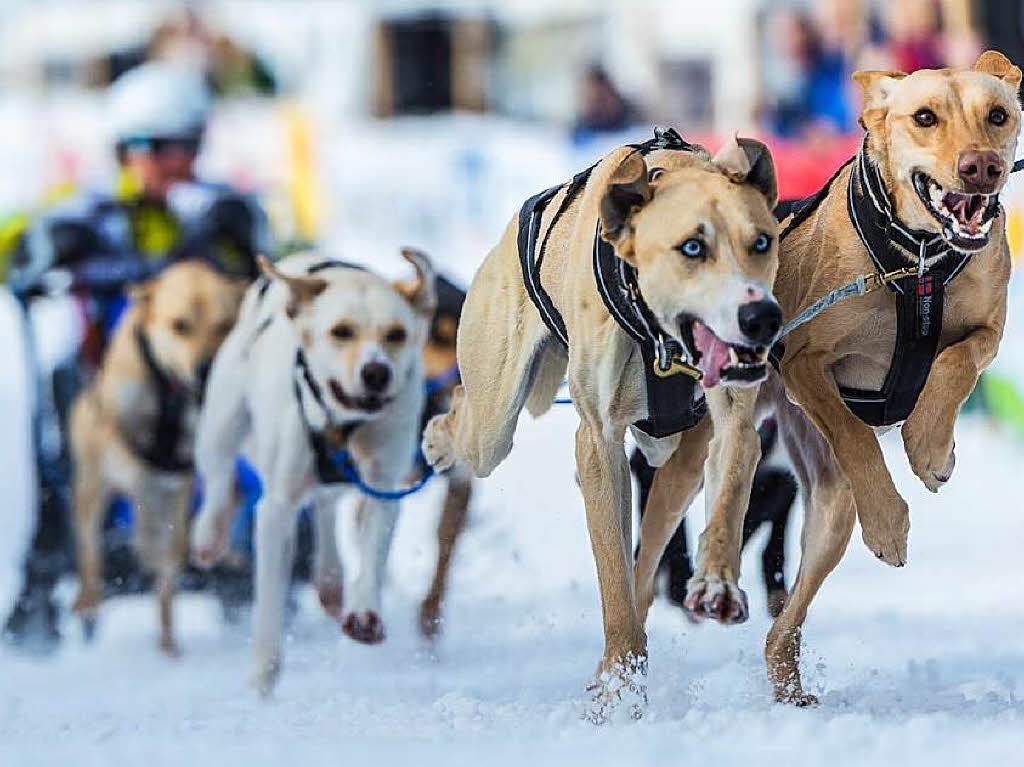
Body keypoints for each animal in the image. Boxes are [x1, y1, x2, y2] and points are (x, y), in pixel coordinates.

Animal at [192, 248, 436, 692]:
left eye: (396, 334)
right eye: (341, 332)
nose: (377, 372)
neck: (342, 425)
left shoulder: (383, 486)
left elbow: (371, 554)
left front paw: (364, 614)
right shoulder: (276, 509)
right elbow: (270, 598)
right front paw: (263, 669)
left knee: (325, 505)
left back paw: (331, 583)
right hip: (222, 421)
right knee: (219, 475)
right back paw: (210, 534)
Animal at [423, 128, 782, 720]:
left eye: (762, 242)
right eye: (692, 248)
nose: (761, 318)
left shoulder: (733, 422)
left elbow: (729, 492)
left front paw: (717, 583)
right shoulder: (599, 443)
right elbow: (613, 579)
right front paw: (621, 681)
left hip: (677, 466)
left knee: (650, 556)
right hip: (493, 421)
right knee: (467, 414)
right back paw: (436, 437)